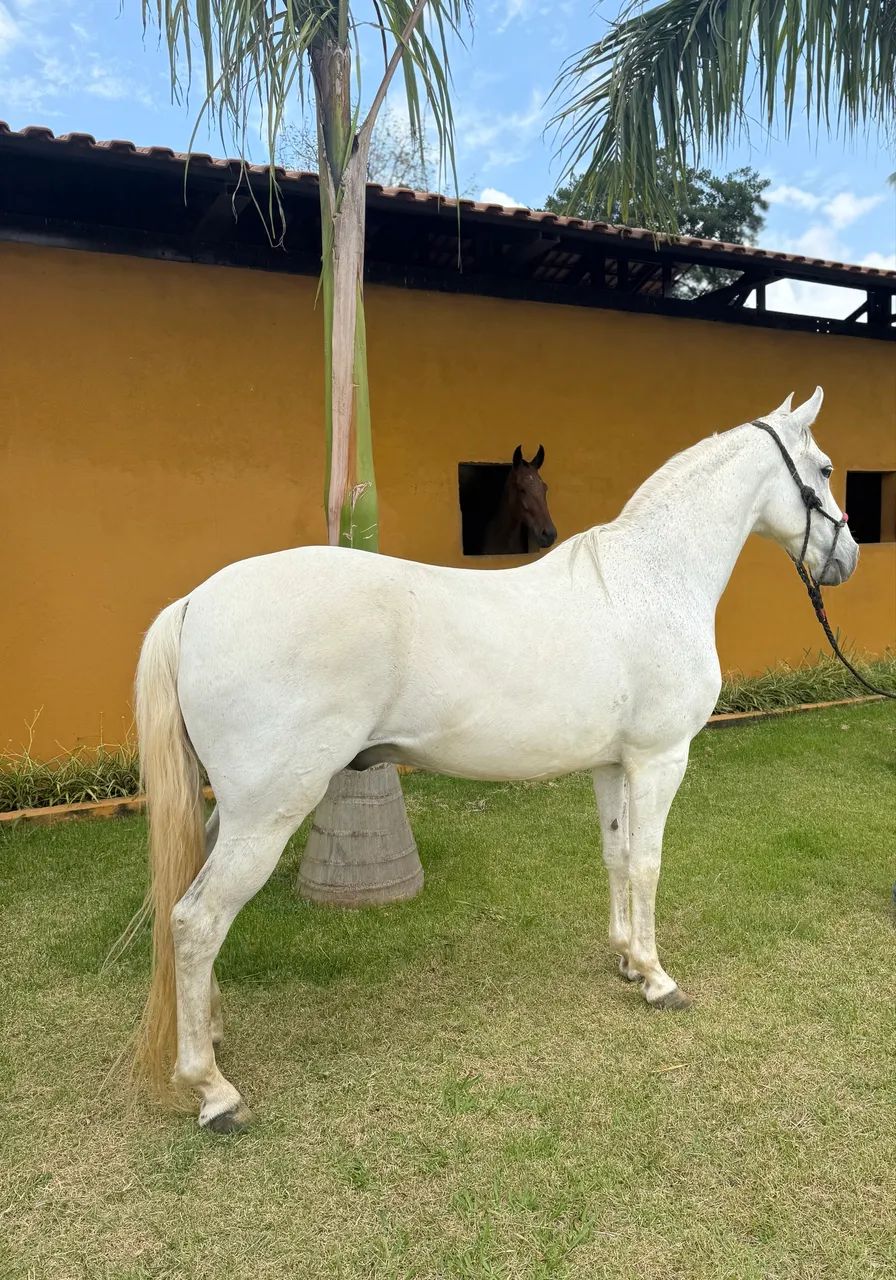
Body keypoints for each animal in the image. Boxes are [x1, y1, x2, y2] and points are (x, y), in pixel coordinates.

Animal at [127, 386, 857, 1132]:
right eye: (827, 470)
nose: (848, 559)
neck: (649, 581)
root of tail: (195, 603)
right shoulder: (659, 759)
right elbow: (649, 864)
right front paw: (657, 979)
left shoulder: (611, 764)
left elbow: (617, 856)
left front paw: (626, 960)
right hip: (268, 813)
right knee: (197, 921)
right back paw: (214, 1090)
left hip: (231, 813)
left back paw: (214, 1031)